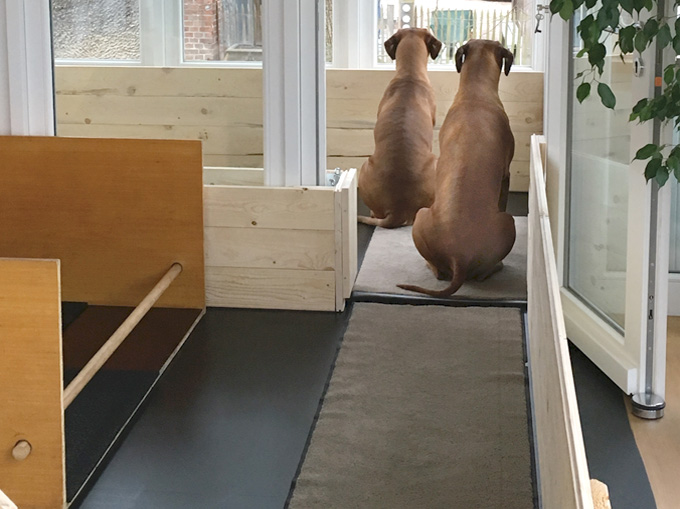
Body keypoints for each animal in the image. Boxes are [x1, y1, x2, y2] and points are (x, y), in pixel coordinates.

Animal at [398, 39, 516, 297]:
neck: (476, 92)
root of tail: (459, 257)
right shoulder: (506, 175)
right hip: (509, 222)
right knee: (480, 273)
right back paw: (498, 266)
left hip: (421, 216)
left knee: (438, 269)